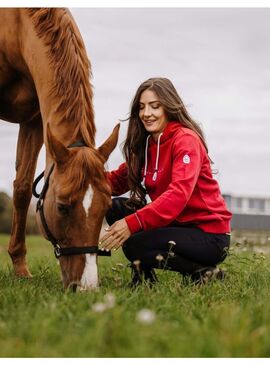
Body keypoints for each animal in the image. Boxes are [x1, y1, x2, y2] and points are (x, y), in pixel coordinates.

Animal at [0, 7, 119, 290]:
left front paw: (20, 268)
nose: (86, 287)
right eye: (63, 207)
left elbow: (22, 189)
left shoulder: (34, 122)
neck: (15, 29)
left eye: (106, 207)